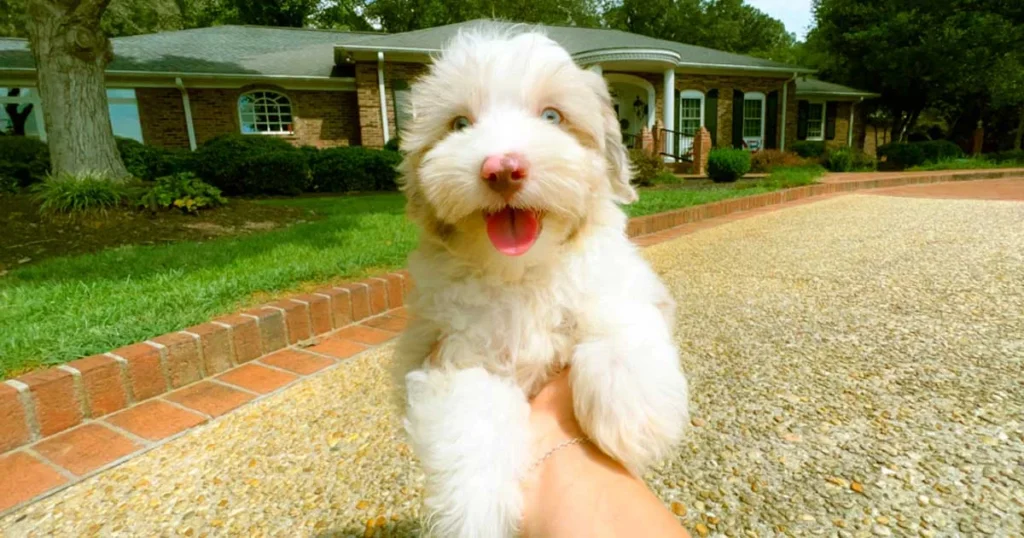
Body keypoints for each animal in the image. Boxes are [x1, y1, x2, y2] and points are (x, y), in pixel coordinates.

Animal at [395, 24, 692, 536]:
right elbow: (472, 420)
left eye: (552, 116)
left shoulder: (618, 282)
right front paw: (473, 515)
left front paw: (635, 413)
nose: (502, 168)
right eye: (459, 124)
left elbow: (619, 318)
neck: (522, 272)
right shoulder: (450, 352)